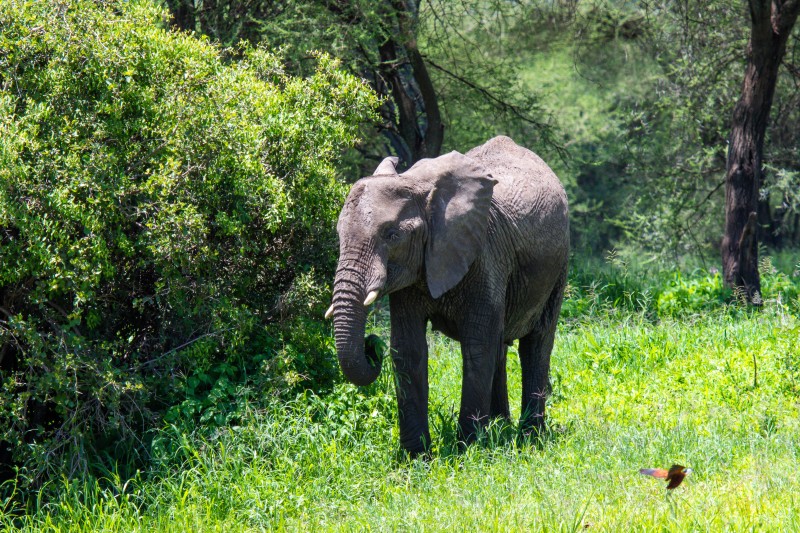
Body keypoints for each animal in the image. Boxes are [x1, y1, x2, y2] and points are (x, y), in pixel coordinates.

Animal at [324, 134, 568, 454]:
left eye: (392, 236)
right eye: (338, 235)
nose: (370, 344)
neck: (417, 186)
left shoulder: (484, 254)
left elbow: (477, 348)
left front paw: (469, 450)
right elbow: (408, 350)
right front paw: (416, 457)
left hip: (559, 265)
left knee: (536, 342)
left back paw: (529, 439)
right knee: (501, 345)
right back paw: (500, 428)